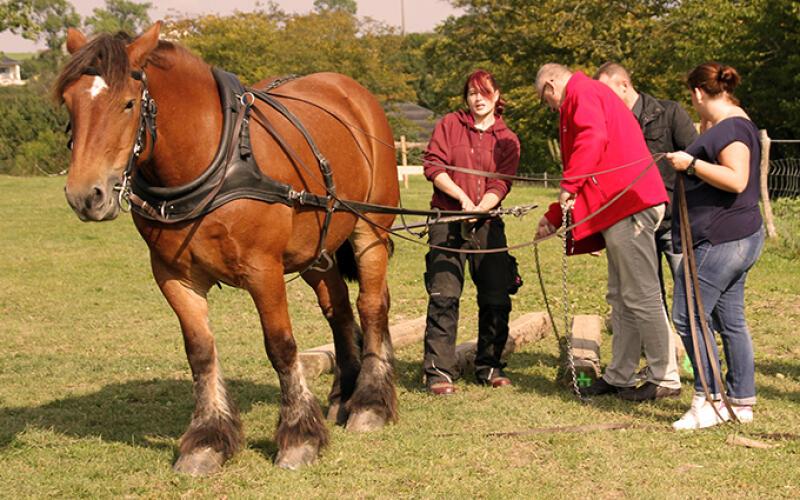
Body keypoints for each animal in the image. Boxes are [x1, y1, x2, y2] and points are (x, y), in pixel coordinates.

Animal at [56, 22, 400, 474]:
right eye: (69, 103)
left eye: (128, 103)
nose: (85, 196)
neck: (212, 160)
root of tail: (351, 91)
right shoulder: (173, 277)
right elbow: (200, 353)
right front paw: (207, 440)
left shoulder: (263, 270)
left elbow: (281, 346)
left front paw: (298, 436)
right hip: (318, 247)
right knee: (339, 311)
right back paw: (344, 395)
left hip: (369, 228)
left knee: (371, 305)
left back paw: (369, 403)